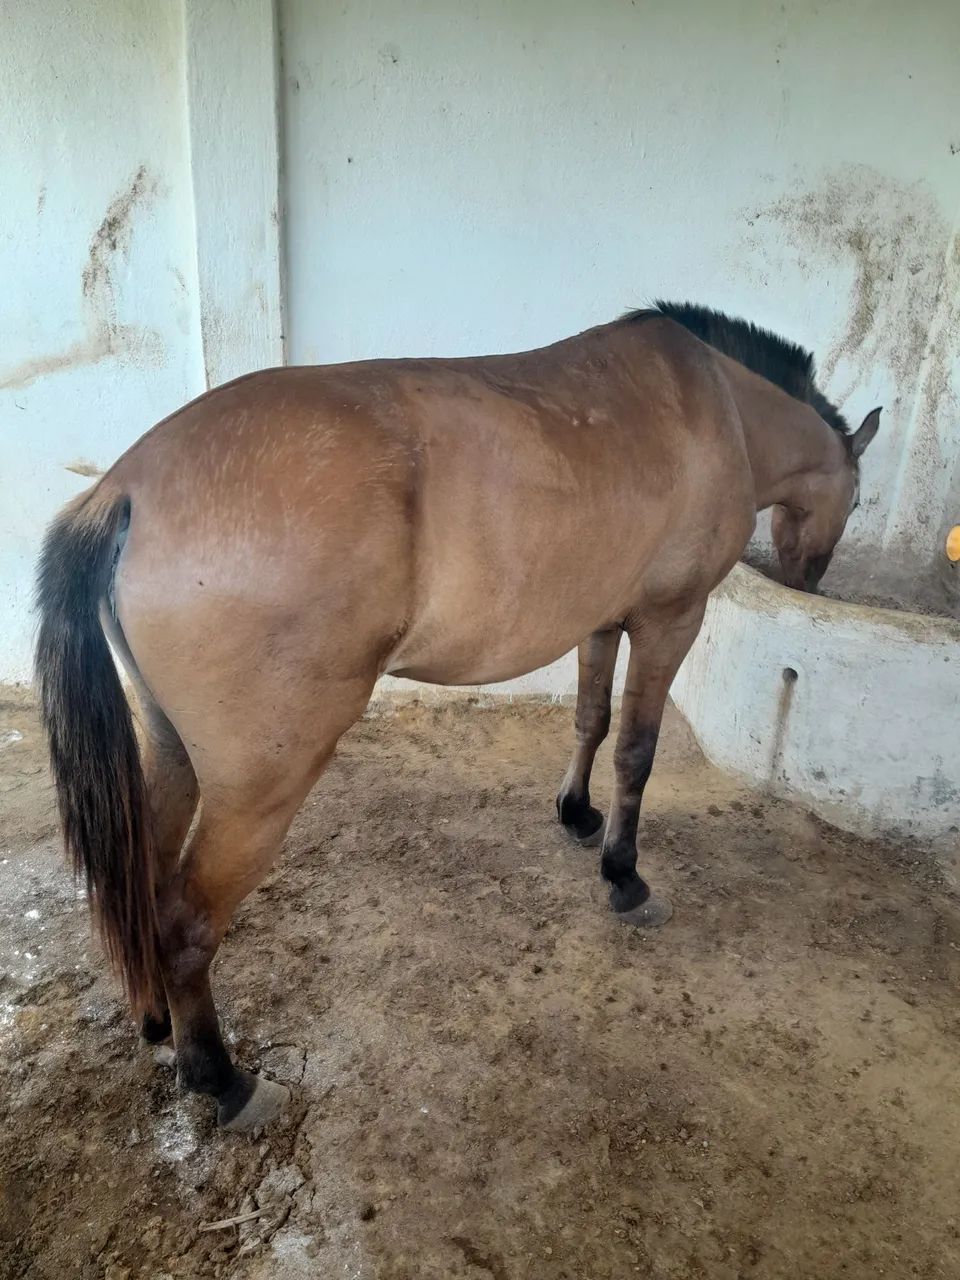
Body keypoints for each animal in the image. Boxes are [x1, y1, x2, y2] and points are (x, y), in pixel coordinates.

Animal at [35, 301, 880, 1131]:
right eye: (862, 496)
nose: (810, 581)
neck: (719, 406)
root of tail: (127, 490)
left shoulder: (603, 620)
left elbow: (591, 720)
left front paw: (577, 814)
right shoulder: (670, 620)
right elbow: (637, 750)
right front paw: (624, 874)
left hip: (170, 750)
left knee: (142, 880)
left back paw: (157, 1021)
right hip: (257, 790)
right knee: (185, 923)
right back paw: (221, 1081)